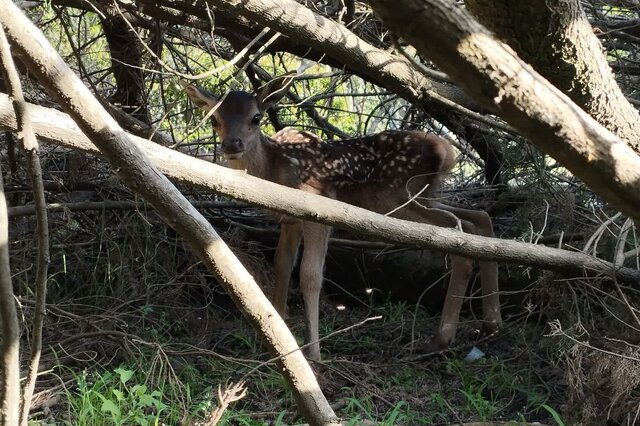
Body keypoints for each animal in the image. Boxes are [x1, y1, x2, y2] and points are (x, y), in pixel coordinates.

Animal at [182, 75, 502, 360]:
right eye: (214, 119)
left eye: (256, 117)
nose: (231, 144)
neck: (274, 171)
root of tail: (447, 152)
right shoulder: (290, 220)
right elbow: (282, 266)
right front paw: (277, 332)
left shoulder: (316, 209)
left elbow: (310, 275)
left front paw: (312, 353)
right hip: (425, 196)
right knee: (479, 218)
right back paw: (490, 323)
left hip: (397, 199)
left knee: (460, 236)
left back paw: (442, 339)